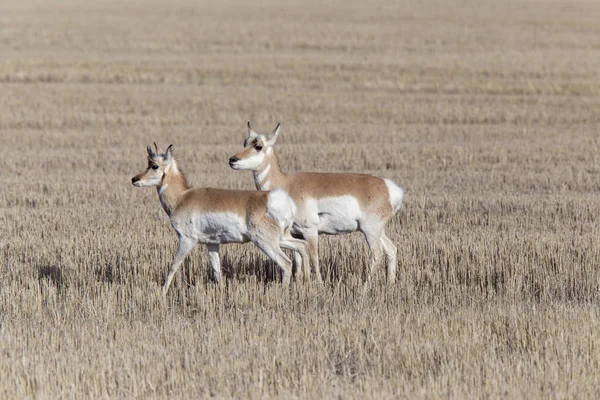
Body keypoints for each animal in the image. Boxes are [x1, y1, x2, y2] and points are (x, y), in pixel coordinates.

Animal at [132, 142, 310, 296]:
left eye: (154, 165)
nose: (134, 179)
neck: (181, 197)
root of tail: (272, 198)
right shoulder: (212, 244)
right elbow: (217, 271)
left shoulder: (187, 240)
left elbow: (173, 266)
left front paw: (161, 293)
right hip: (281, 238)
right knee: (302, 247)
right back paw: (306, 281)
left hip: (265, 242)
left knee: (286, 263)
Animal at [227, 123, 406, 282]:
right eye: (245, 142)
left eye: (258, 146)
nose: (232, 159)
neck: (287, 184)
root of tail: (388, 186)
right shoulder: (296, 233)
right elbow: (298, 259)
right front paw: (299, 283)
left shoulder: (310, 231)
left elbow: (314, 258)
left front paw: (318, 285)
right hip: (375, 230)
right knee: (391, 250)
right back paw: (390, 284)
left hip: (370, 230)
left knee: (377, 254)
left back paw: (365, 287)